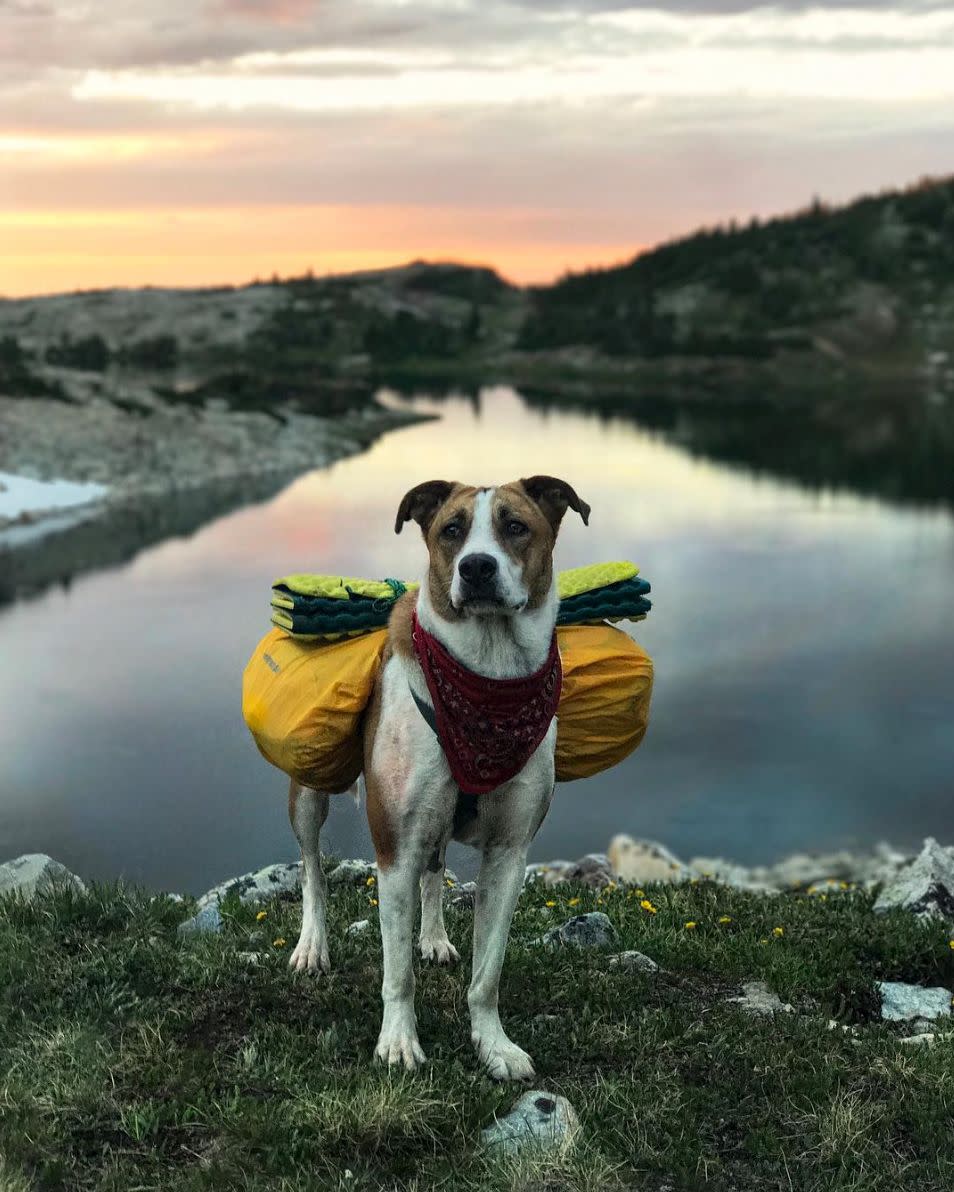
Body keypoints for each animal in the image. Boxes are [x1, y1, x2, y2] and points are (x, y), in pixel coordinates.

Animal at [287, 474, 591, 1082]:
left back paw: (433, 937)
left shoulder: (509, 852)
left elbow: (487, 973)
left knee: (434, 868)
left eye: (515, 526)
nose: (476, 567)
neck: (486, 680)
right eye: (452, 529)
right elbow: (397, 972)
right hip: (310, 791)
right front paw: (398, 1043)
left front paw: (493, 1045)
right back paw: (313, 946)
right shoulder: (393, 848)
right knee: (312, 868)